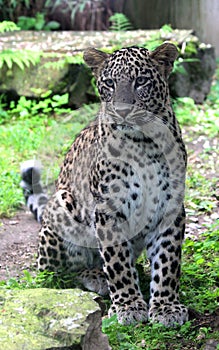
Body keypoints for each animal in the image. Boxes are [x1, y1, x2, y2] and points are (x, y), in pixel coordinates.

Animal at [21, 42, 188, 326]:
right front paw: (128, 306)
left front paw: (166, 307)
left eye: (141, 81)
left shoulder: (171, 207)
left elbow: (167, 262)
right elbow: (117, 262)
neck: (145, 142)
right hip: (62, 205)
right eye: (109, 83)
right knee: (59, 274)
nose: (122, 111)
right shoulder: (108, 209)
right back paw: (96, 277)